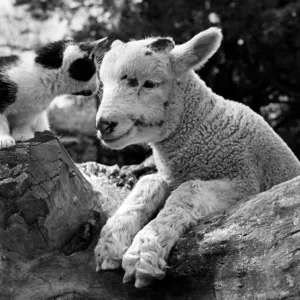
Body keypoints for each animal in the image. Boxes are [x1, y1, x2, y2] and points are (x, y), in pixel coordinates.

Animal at [94, 28, 300, 288]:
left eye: (149, 83)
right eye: (104, 86)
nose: (104, 125)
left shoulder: (244, 181)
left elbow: (189, 190)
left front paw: (143, 253)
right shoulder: (171, 176)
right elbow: (148, 182)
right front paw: (110, 242)